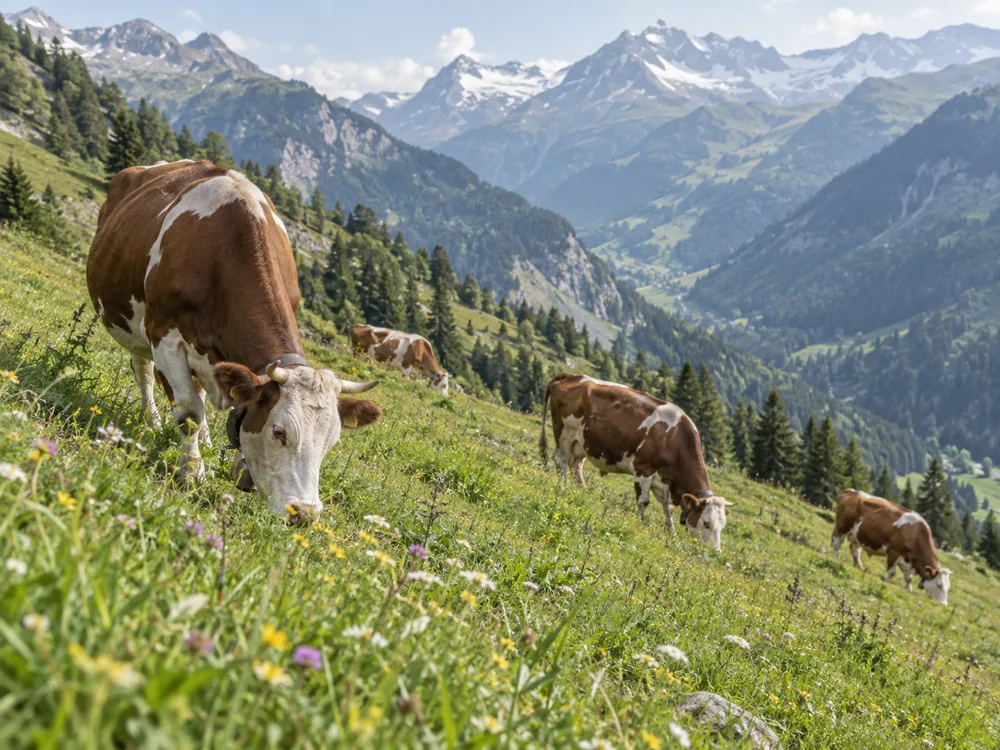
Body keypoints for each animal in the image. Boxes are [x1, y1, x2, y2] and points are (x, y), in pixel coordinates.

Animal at [87, 160, 382, 521]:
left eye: (331, 442)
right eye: (279, 432)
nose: (305, 513)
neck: (223, 254)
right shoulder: (164, 335)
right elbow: (189, 413)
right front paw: (192, 472)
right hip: (134, 324)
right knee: (144, 371)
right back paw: (152, 421)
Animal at [539, 373, 734, 549]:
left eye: (722, 525)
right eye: (706, 523)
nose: (715, 551)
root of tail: (571, 375)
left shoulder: (667, 483)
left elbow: (668, 509)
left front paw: (671, 533)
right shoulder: (643, 469)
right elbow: (643, 501)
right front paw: (640, 523)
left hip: (581, 443)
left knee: (575, 466)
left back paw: (582, 491)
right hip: (564, 432)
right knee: (561, 461)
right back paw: (563, 487)